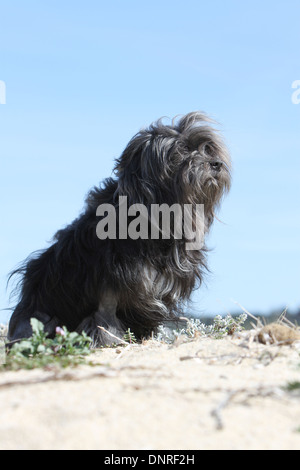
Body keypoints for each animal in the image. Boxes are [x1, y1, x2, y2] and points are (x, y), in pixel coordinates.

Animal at [7, 111, 232, 346]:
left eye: (207, 149)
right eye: (181, 150)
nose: (216, 164)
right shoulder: (110, 283)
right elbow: (104, 318)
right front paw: (109, 339)